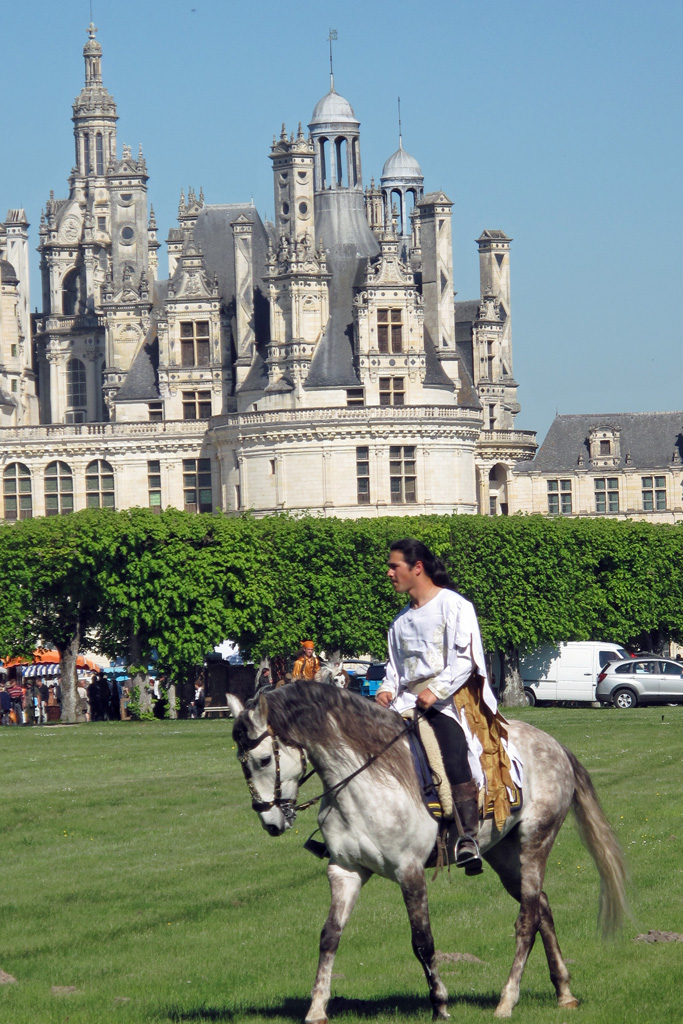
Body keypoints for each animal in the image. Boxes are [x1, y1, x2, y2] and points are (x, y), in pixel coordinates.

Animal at [227, 679, 626, 1024]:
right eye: (241, 762)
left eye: (263, 760)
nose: (270, 822)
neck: (364, 781)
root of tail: (555, 746)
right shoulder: (345, 870)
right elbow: (329, 937)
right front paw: (316, 1009)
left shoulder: (410, 871)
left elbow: (422, 941)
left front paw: (440, 1004)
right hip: (504, 855)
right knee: (541, 906)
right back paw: (564, 991)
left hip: (535, 843)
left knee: (527, 919)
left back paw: (507, 1000)